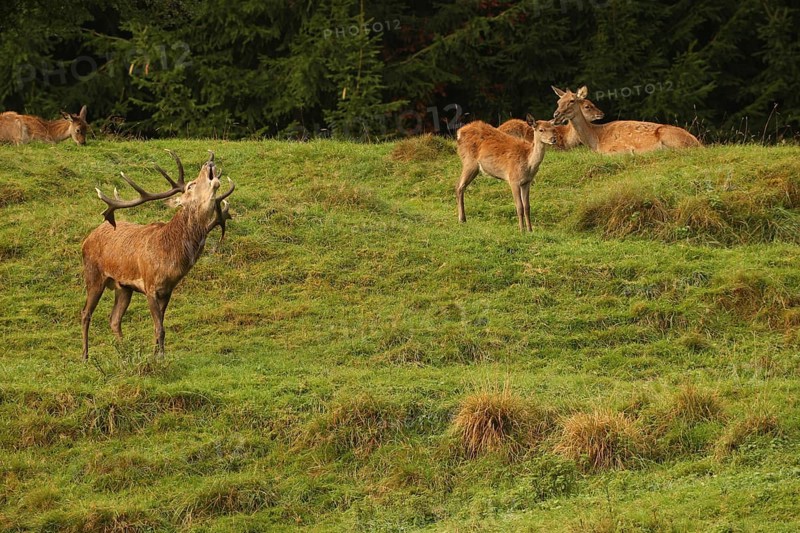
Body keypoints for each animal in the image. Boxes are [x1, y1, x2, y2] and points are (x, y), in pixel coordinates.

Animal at [81, 150, 234, 360]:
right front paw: (160, 357)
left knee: (114, 319)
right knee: (86, 313)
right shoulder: (150, 286)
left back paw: (124, 351)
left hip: (123, 287)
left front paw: (156, 354)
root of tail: (87, 239)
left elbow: (159, 326)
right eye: (191, 185)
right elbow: (159, 328)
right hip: (93, 274)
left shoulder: (168, 290)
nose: (209, 163)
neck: (170, 257)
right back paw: (85, 356)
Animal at [551, 87, 701, 153]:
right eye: (558, 101)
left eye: (571, 101)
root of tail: (699, 143)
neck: (596, 139)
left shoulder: (619, 148)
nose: (556, 114)